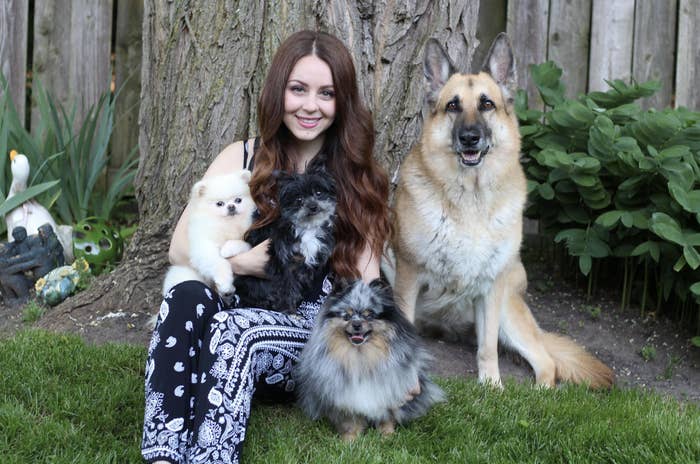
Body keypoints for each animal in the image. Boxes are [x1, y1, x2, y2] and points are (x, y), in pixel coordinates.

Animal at [163, 170, 256, 300]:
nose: (231, 206)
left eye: (238, 200)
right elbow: (218, 263)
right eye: (219, 203)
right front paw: (225, 282)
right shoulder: (203, 247)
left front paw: (228, 248)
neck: (227, 224)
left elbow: (241, 244)